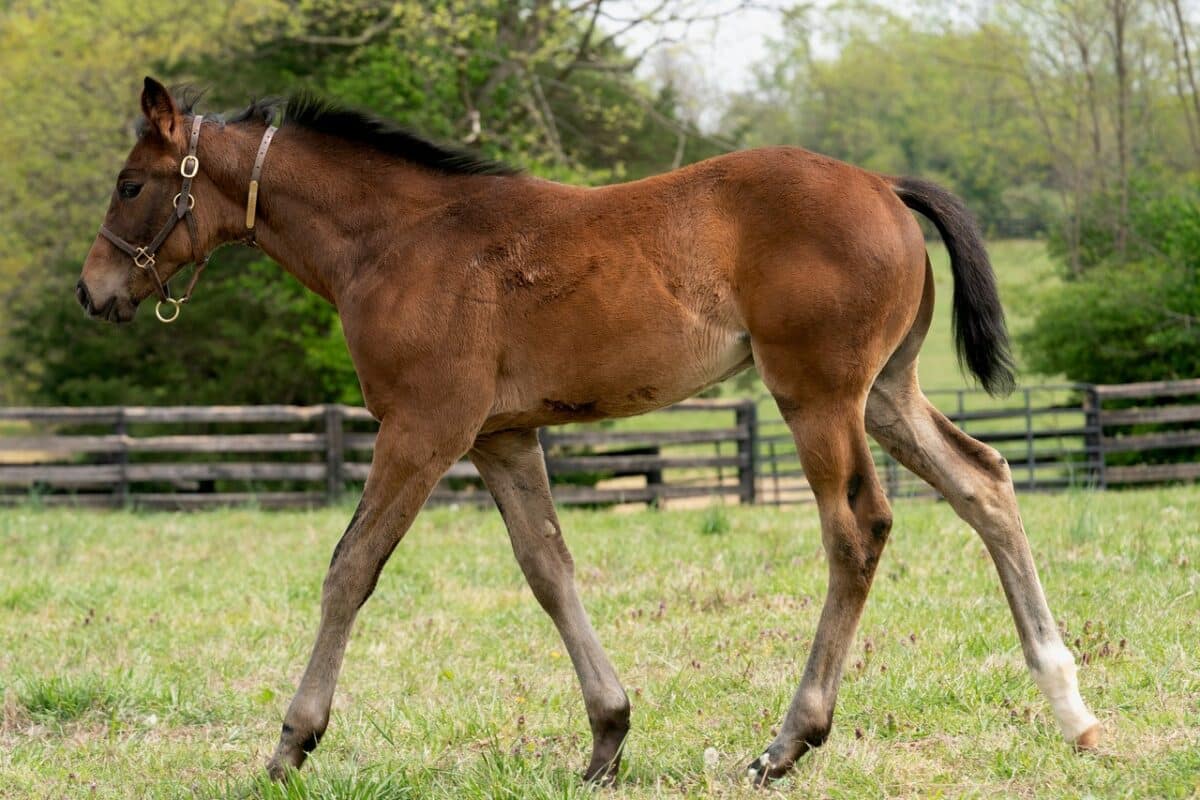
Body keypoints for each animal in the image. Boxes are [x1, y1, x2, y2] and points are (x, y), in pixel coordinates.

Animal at [77, 79, 1099, 782]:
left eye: (130, 184)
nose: (93, 291)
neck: (398, 240)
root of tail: (884, 185)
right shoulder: (499, 437)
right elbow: (549, 569)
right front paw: (607, 736)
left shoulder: (422, 428)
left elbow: (351, 568)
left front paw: (292, 742)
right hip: (885, 393)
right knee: (984, 480)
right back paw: (1072, 707)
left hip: (817, 396)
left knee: (859, 530)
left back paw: (789, 740)